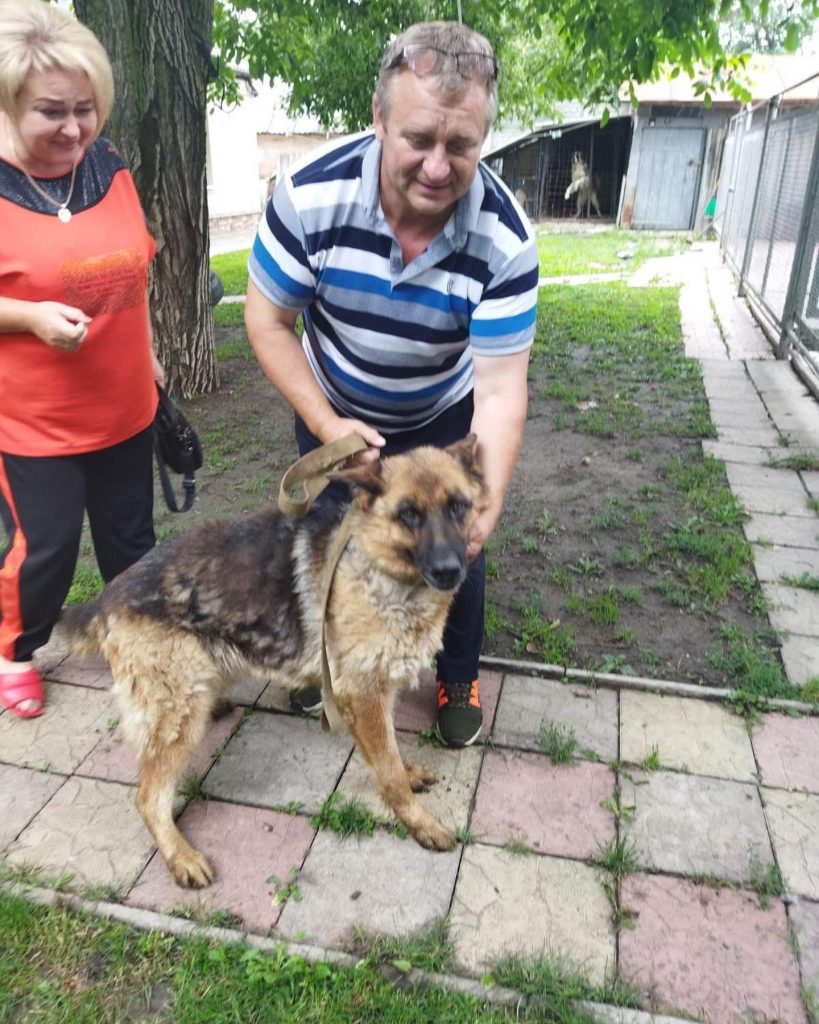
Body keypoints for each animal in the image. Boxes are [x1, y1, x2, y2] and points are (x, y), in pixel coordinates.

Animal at [63, 440, 489, 888]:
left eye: (458, 506)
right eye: (409, 514)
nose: (449, 570)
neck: (379, 567)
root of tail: (106, 596)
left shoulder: (376, 693)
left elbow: (388, 754)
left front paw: (407, 775)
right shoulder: (363, 695)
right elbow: (387, 769)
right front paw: (419, 822)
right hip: (177, 715)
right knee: (147, 797)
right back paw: (181, 856)